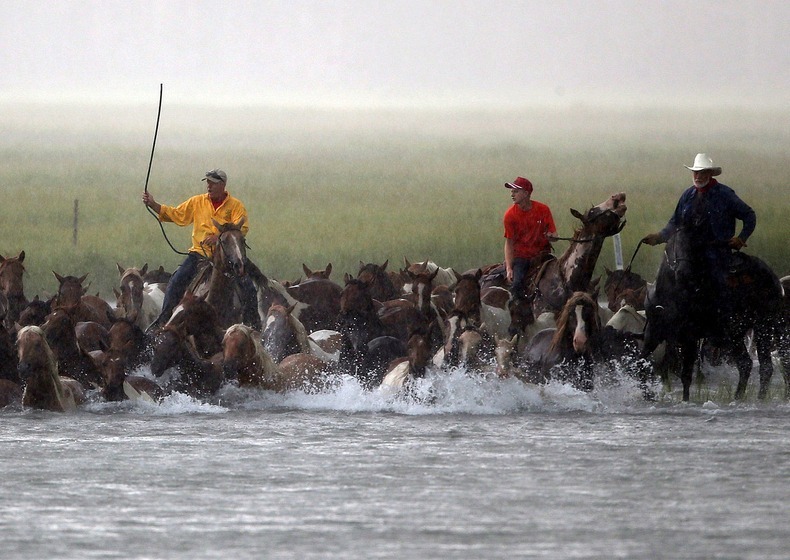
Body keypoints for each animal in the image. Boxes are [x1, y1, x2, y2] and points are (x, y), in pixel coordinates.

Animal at [644, 228, 784, 402]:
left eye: (693, 246)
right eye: (674, 244)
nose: (684, 272)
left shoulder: (689, 337)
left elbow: (686, 375)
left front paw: (684, 400)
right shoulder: (653, 333)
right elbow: (644, 362)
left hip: (754, 328)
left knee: (755, 365)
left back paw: (747, 398)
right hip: (747, 331)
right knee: (755, 365)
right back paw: (747, 397)